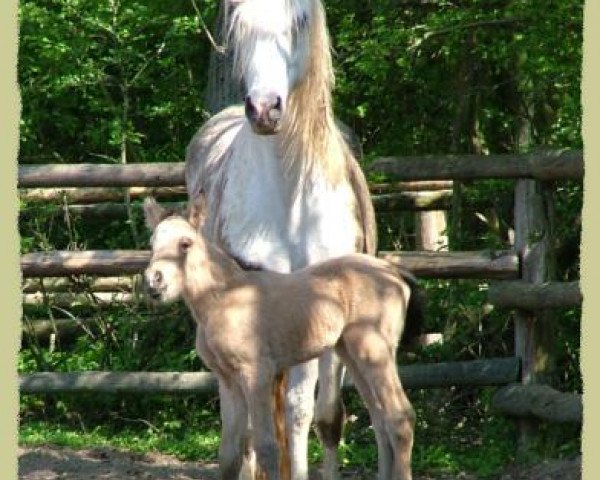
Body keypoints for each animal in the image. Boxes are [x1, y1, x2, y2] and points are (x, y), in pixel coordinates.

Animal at [143, 195, 414, 480]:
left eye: (185, 243)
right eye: (152, 244)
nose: (154, 281)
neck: (223, 299)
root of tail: (395, 274)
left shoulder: (257, 374)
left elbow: (266, 448)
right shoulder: (227, 380)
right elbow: (228, 455)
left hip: (375, 351)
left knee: (400, 418)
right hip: (350, 352)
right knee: (380, 420)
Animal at [185, 1, 378, 478]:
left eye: (300, 21)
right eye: (239, 29)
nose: (264, 109)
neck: (292, 203)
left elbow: (317, 415)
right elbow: (268, 420)